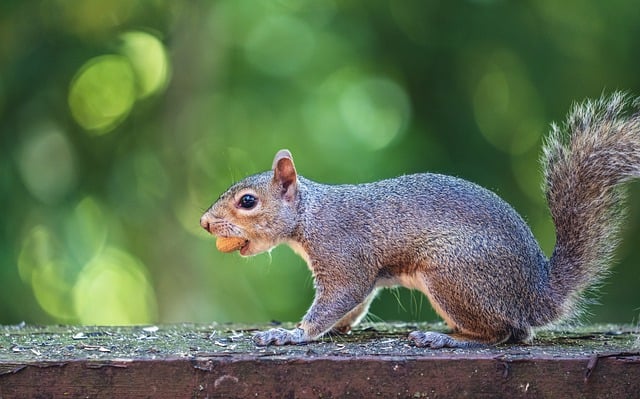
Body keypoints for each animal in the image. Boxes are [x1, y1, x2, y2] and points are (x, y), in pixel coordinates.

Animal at [200, 92, 640, 348]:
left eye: (248, 201)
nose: (205, 223)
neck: (311, 216)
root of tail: (537, 294)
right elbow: (354, 305)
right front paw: (335, 328)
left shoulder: (343, 256)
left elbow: (340, 297)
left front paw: (292, 334)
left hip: (453, 274)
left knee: (507, 332)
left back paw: (448, 339)